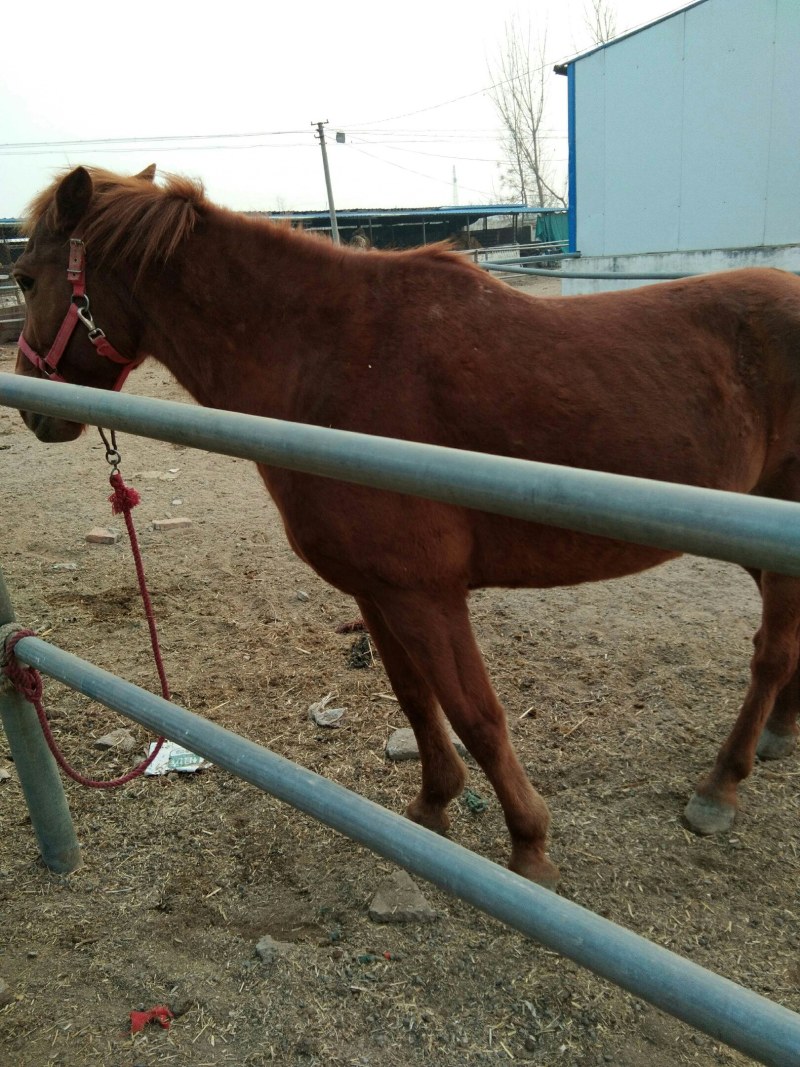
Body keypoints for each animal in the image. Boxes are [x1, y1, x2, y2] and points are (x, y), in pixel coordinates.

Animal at [12, 164, 800, 886]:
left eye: (21, 277)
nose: (30, 409)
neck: (330, 359)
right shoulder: (375, 591)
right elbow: (416, 699)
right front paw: (431, 809)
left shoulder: (426, 593)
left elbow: (477, 715)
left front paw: (529, 846)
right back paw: (777, 735)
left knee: (771, 653)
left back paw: (719, 785)